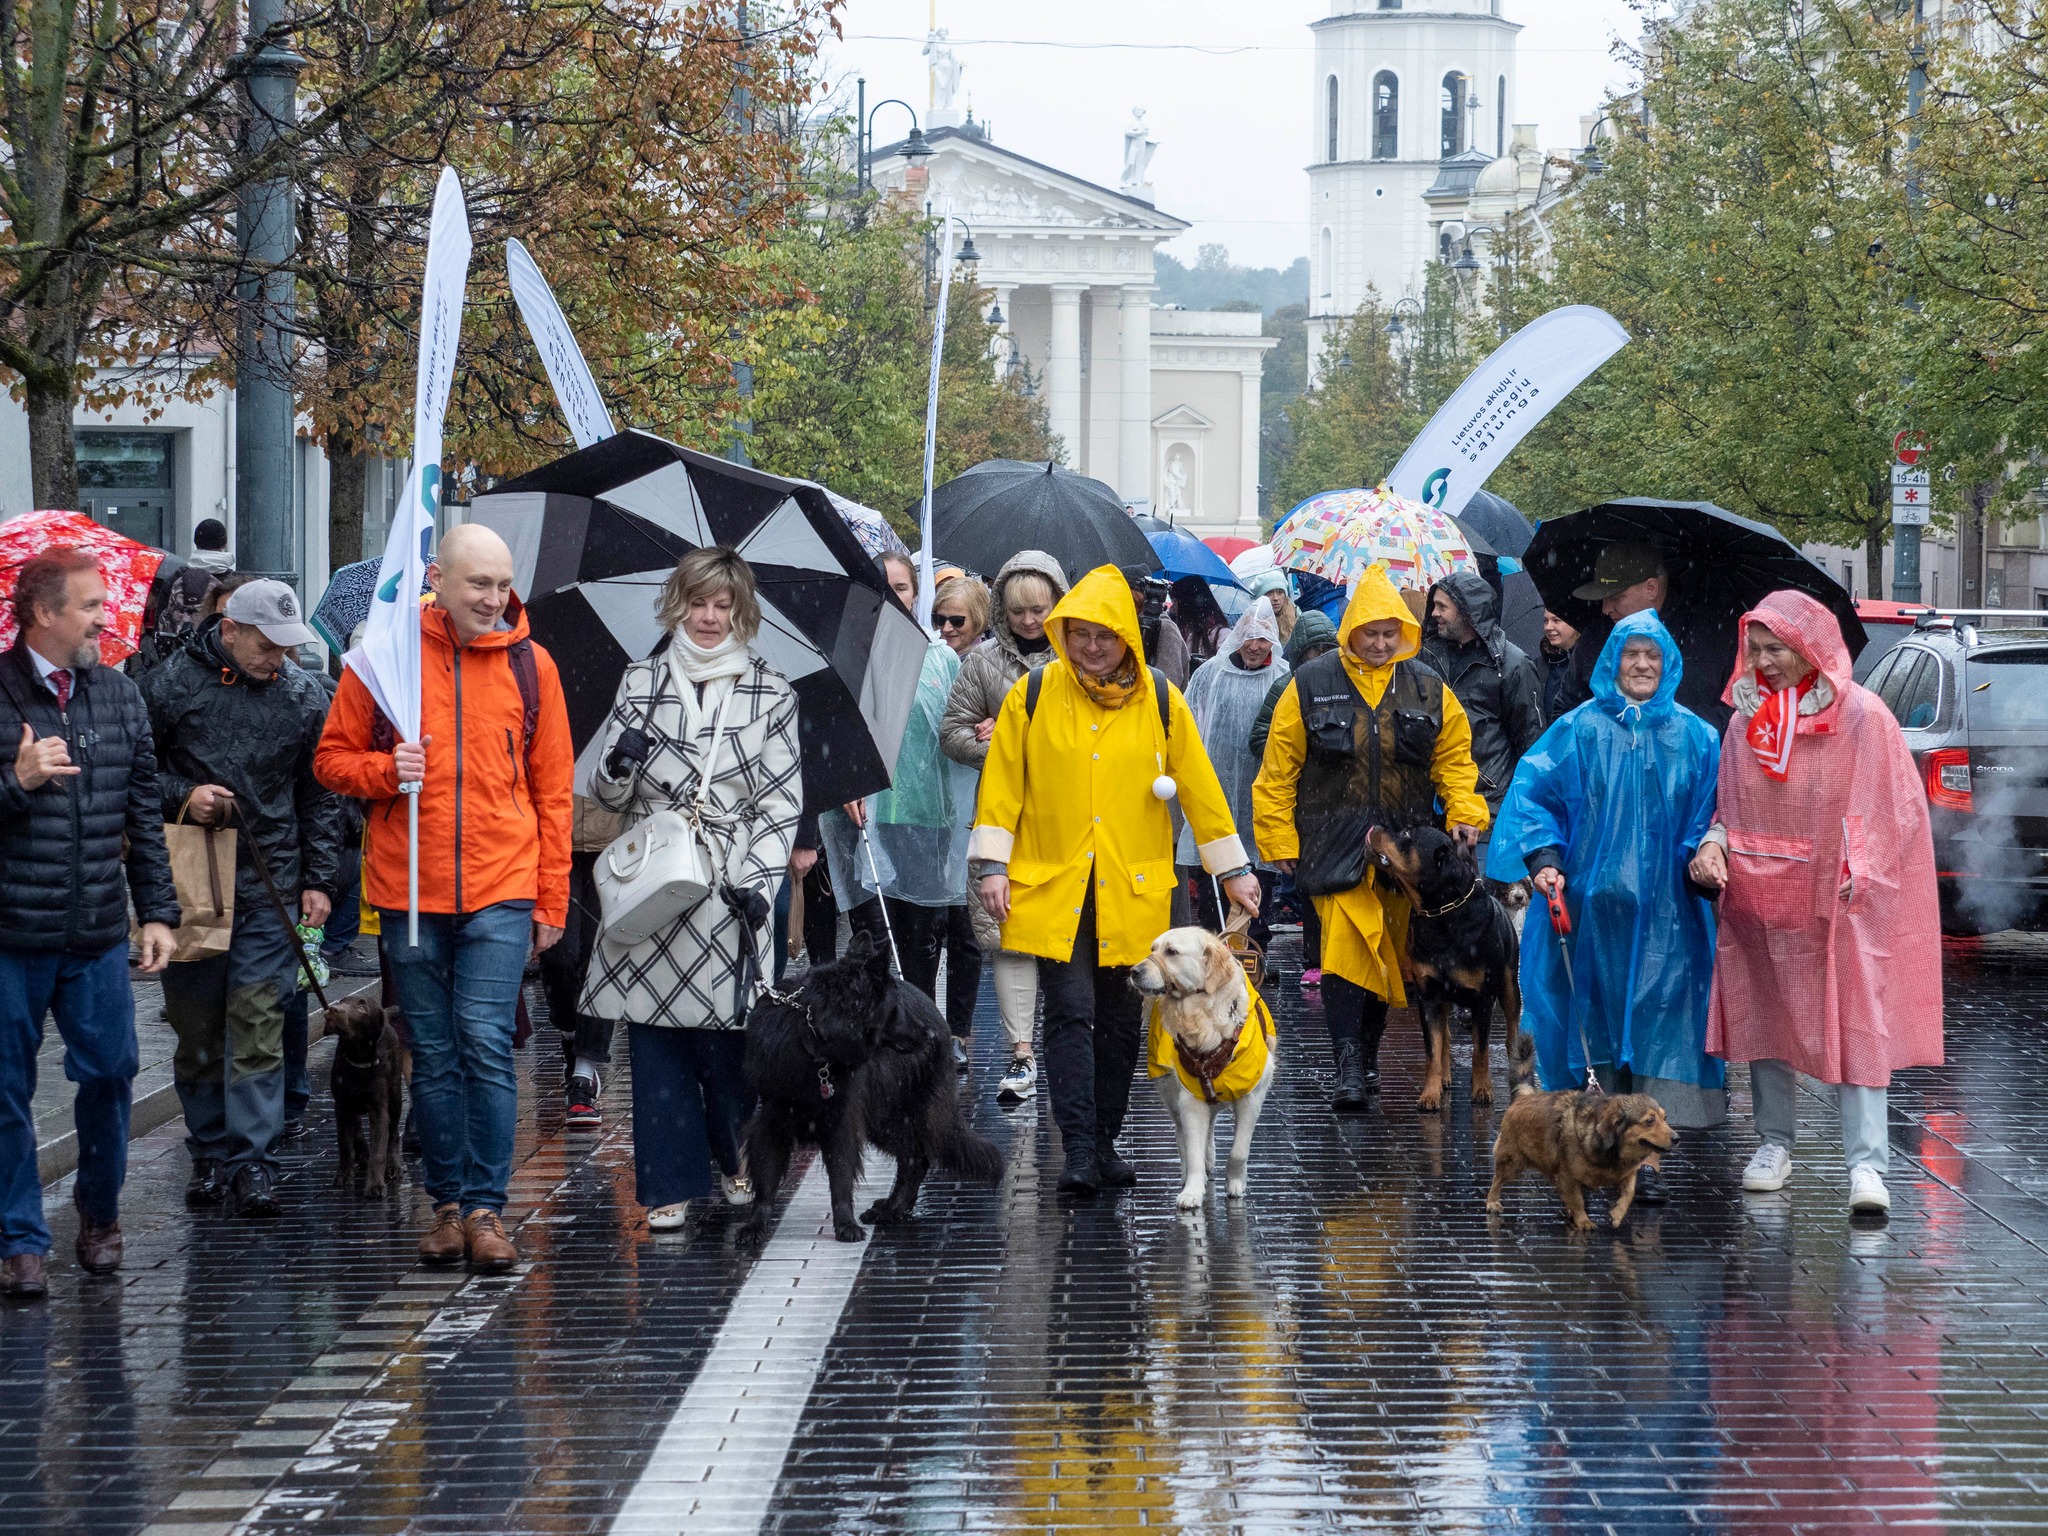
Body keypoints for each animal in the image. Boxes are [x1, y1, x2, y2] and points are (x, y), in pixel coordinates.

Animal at [323, 999, 407, 1204]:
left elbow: (378, 1153)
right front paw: (344, 1176)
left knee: (394, 1134)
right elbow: (344, 1145)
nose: (333, 1009)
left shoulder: (379, 1110)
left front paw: (375, 1186)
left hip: (395, 1097)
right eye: (342, 1001)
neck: (357, 1059)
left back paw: (393, 1166)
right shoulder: (342, 1107)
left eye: (362, 1008)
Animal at [753, 933, 1007, 1245]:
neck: (813, 1039)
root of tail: (939, 1019)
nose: (930, 1035)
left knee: (915, 1159)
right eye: (895, 1006)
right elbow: (766, 1177)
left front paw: (845, 1223)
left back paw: (893, 1208)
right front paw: (755, 1225)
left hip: (885, 1117)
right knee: (916, 1157)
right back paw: (897, 1207)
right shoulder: (773, 1119)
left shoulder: (843, 1123)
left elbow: (841, 1176)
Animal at [1130, 925, 1269, 1212]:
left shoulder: (1252, 1096)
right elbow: (1192, 1146)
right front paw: (1192, 1190)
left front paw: (1235, 1183)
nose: (1133, 971)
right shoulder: (1190, 1099)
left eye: (1172, 952)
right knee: (1181, 1134)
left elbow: (1239, 1150)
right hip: (1171, 1092)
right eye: (1153, 949)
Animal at [1490, 1089, 1679, 1236]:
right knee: (1497, 1180)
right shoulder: (1567, 1175)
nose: (1677, 1138)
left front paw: (1617, 1214)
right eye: (1649, 1121)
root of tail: (1523, 1097)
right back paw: (1492, 1202)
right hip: (1512, 1162)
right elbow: (1577, 1200)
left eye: (1665, 1118)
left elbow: (1629, 1192)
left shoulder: (1629, 1172)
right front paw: (1583, 1221)